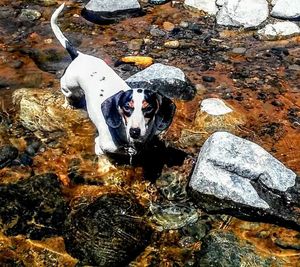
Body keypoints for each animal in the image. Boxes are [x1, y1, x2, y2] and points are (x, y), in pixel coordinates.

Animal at [49, 3, 176, 156]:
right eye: (127, 107)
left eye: (148, 108)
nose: (134, 132)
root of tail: (79, 55)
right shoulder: (101, 145)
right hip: (69, 86)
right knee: (68, 94)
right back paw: (69, 105)